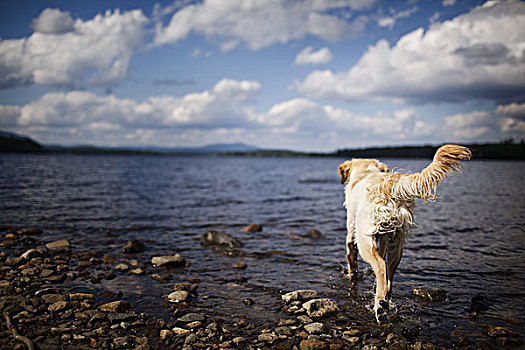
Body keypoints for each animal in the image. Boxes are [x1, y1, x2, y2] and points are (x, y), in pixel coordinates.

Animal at [340, 145, 470, 322]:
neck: (365, 172)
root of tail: (391, 184)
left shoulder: (351, 229)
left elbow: (350, 257)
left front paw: (352, 275)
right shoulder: (385, 237)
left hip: (364, 239)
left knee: (381, 266)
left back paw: (379, 308)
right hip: (397, 242)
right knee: (389, 275)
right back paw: (384, 302)